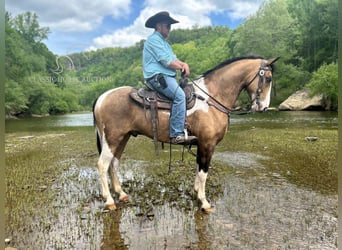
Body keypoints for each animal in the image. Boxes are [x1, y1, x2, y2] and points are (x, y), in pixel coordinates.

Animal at [93, 54, 278, 211]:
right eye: (268, 78)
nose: (263, 107)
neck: (211, 97)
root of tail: (101, 97)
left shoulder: (201, 144)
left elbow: (198, 169)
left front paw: (196, 192)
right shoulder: (207, 144)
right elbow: (203, 172)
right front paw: (204, 202)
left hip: (122, 138)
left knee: (113, 164)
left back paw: (121, 194)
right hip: (112, 139)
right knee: (103, 165)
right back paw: (109, 200)